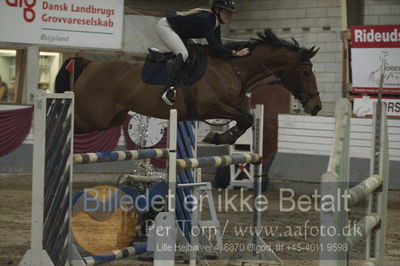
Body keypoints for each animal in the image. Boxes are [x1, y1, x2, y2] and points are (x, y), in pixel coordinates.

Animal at [54, 28, 322, 145]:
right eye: (306, 71)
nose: (317, 107)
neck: (234, 69)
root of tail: (90, 64)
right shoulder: (210, 106)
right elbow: (245, 118)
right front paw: (219, 137)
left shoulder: (224, 108)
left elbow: (245, 120)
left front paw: (219, 137)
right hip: (93, 117)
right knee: (69, 124)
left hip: (110, 118)